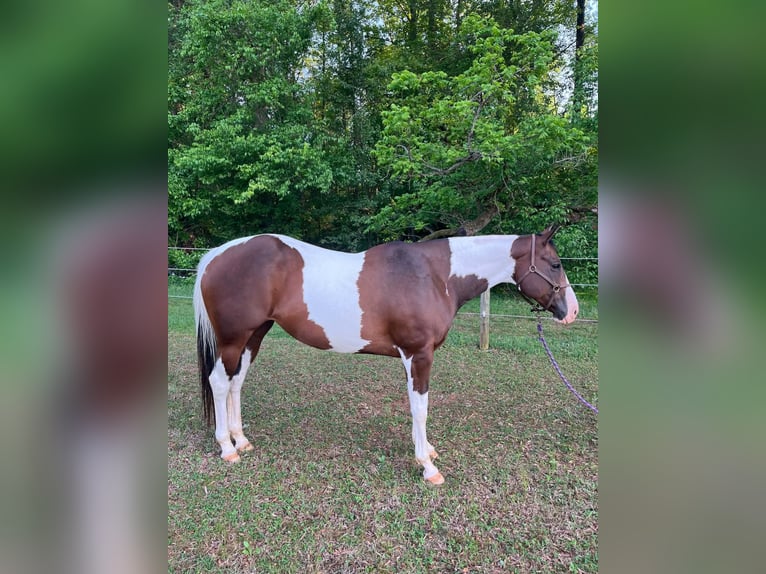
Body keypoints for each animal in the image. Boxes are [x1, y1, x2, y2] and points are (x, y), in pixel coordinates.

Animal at [193, 225, 579, 485]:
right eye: (555, 264)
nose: (571, 311)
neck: (434, 277)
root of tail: (215, 256)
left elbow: (416, 407)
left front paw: (426, 449)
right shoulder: (418, 355)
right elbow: (421, 408)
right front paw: (428, 466)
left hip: (254, 335)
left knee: (236, 382)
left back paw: (241, 441)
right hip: (233, 338)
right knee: (219, 382)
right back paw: (226, 448)